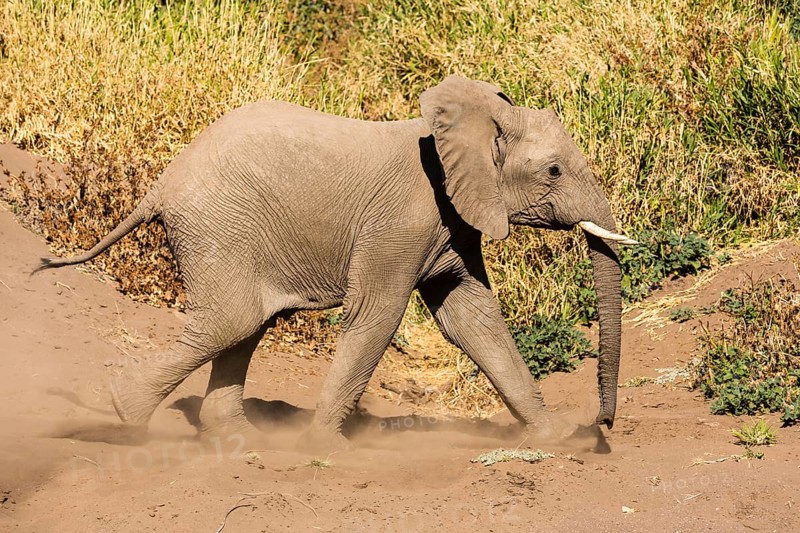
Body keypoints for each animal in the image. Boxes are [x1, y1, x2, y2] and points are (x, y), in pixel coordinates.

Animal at [37, 76, 636, 449]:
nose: (601, 424)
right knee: (232, 320)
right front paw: (326, 446)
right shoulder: (402, 222)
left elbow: (472, 319)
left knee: (247, 324)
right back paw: (126, 414)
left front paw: (553, 438)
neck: (469, 122)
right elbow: (378, 314)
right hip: (217, 227)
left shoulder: (454, 221)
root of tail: (160, 184)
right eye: (554, 171)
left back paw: (237, 439)